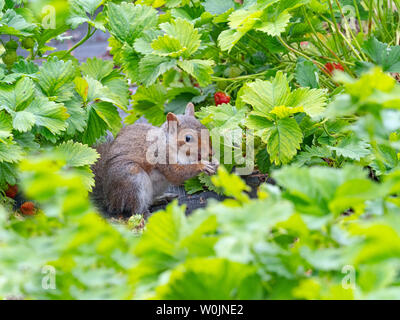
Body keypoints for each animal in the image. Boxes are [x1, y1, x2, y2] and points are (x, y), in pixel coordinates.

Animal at [91, 103, 219, 218]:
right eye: (188, 138)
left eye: (206, 129)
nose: (211, 152)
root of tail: (108, 199)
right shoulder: (161, 155)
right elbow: (176, 174)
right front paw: (202, 165)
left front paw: (215, 162)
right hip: (132, 180)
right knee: (136, 211)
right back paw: (148, 215)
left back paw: (161, 198)